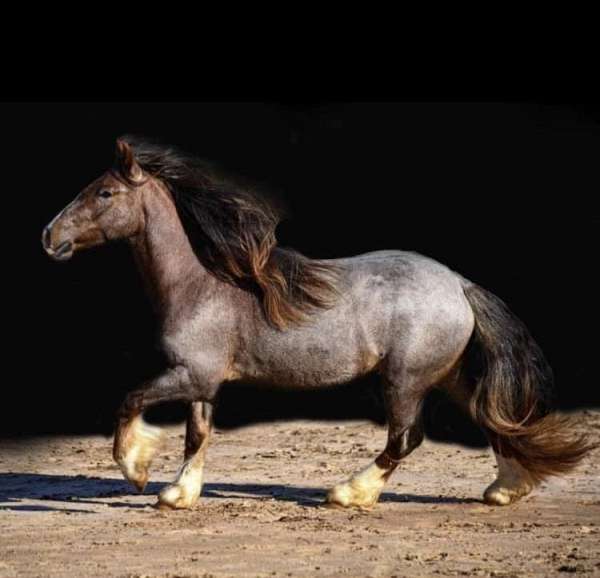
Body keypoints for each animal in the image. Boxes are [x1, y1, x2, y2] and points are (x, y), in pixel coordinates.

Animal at [41, 138, 592, 508]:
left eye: (105, 193)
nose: (49, 236)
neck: (200, 287)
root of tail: (459, 284)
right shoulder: (203, 381)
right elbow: (197, 435)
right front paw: (178, 493)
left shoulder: (189, 375)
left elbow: (130, 400)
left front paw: (137, 471)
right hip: (447, 375)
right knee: (491, 420)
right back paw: (504, 490)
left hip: (405, 380)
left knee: (405, 438)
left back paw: (349, 493)